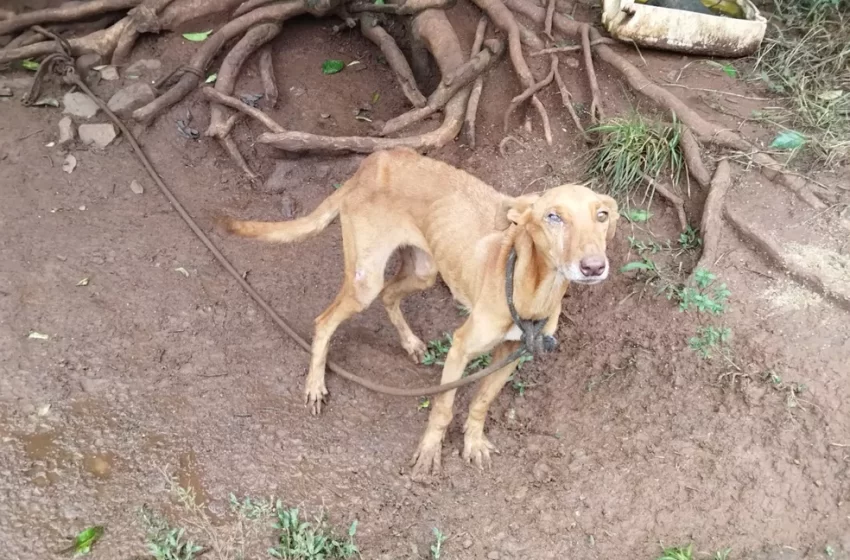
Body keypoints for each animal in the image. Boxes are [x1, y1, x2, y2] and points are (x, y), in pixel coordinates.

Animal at [219, 148, 616, 476]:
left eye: (602, 216)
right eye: (553, 217)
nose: (594, 267)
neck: (531, 287)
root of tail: (373, 162)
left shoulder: (512, 353)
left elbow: (481, 402)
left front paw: (473, 442)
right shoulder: (460, 347)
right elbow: (443, 407)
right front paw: (429, 453)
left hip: (424, 271)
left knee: (390, 296)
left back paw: (409, 343)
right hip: (365, 280)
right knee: (325, 320)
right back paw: (315, 384)